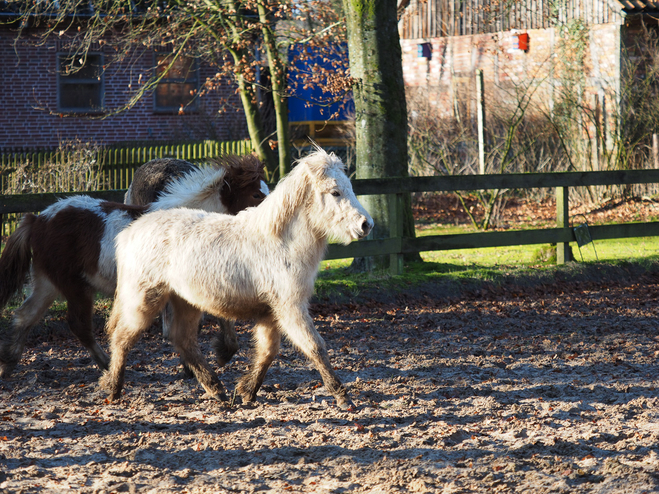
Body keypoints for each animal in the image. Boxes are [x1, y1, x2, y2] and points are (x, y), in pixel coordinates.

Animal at [0, 155, 268, 378]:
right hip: (74, 285)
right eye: (256, 194)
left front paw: (211, 358)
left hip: (48, 283)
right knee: (78, 325)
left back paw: (8, 365)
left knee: (25, 316)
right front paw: (211, 359)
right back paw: (108, 365)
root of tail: (38, 219)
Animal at [101, 148, 374, 410]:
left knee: (183, 340)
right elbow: (315, 347)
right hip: (144, 299)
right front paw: (343, 398)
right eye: (335, 192)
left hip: (185, 302)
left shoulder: (270, 312)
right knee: (122, 338)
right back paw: (113, 389)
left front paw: (246, 391)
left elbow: (268, 352)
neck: (279, 241)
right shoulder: (290, 308)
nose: (367, 224)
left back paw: (217, 390)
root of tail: (130, 231)